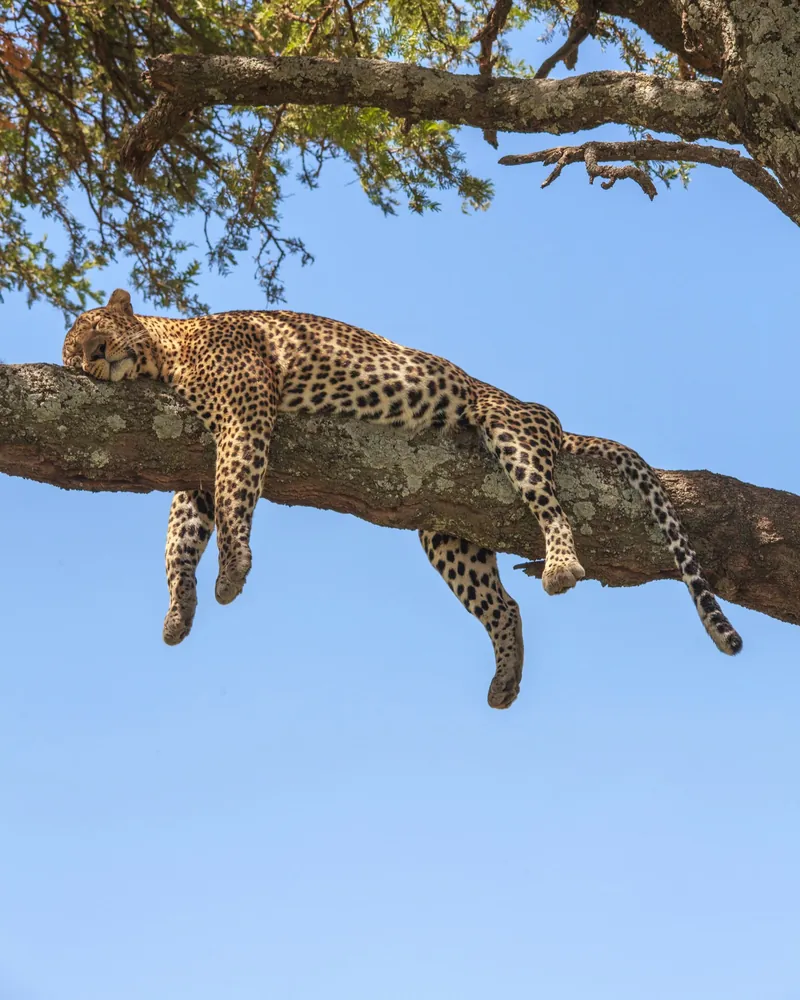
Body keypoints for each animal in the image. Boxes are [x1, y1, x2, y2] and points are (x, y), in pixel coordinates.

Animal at [62, 289, 742, 709]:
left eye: (95, 331)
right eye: (72, 355)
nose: (93, 357)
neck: (165, 351)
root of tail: (548, 417)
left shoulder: (244, 412)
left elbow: (236, 492)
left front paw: (232, 571)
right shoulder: (193, 459)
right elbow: (183, 531)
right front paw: (179, 611)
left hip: (512, 430)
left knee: (550, 506)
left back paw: (562, 566)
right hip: (448, 530)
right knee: (504, 606)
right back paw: (505, 679)